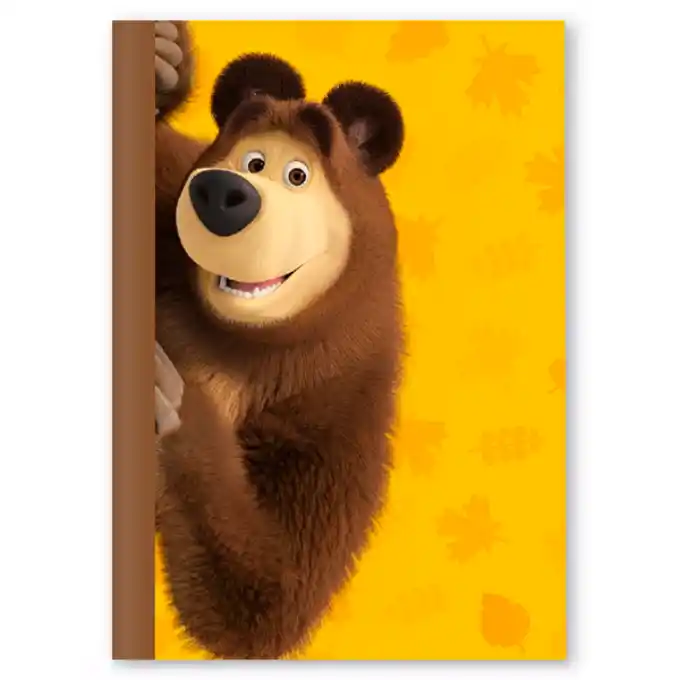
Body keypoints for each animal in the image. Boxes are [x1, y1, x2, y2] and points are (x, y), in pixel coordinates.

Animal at [153, 22, 406, 660]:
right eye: (250, 159)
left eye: (296, 173)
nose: (221, 193)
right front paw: (165, 57)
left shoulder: (336, 418)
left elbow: (270, 600)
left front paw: (177, 399)